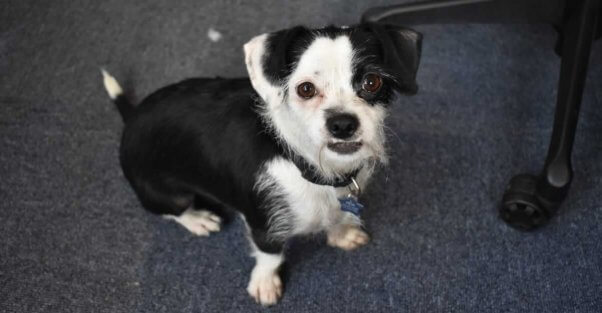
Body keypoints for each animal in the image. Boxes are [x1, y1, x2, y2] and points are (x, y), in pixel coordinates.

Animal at [102, 23, 422, 304]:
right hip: (168, 195)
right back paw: (198, 219)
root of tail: (132, 118)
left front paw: (342, 232)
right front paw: (265, 283)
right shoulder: (263, 225)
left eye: (372, 82)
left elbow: (336, 216)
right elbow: (270, 256)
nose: (342, 124)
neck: (310, 166)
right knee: (172, 211)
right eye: (306, 89)